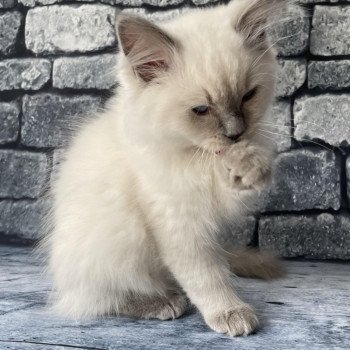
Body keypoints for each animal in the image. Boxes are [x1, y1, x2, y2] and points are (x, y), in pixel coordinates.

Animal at [45, 0, 288, 340]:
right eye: (201, 110)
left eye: (248, 96)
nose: (236, 133)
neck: (194, 156)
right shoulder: (177, 219)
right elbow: (204, 275)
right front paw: (230, 313)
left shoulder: (215, 201)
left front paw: (249, 165)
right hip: (116, 240)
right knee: (99, 298)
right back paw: (163, 302)